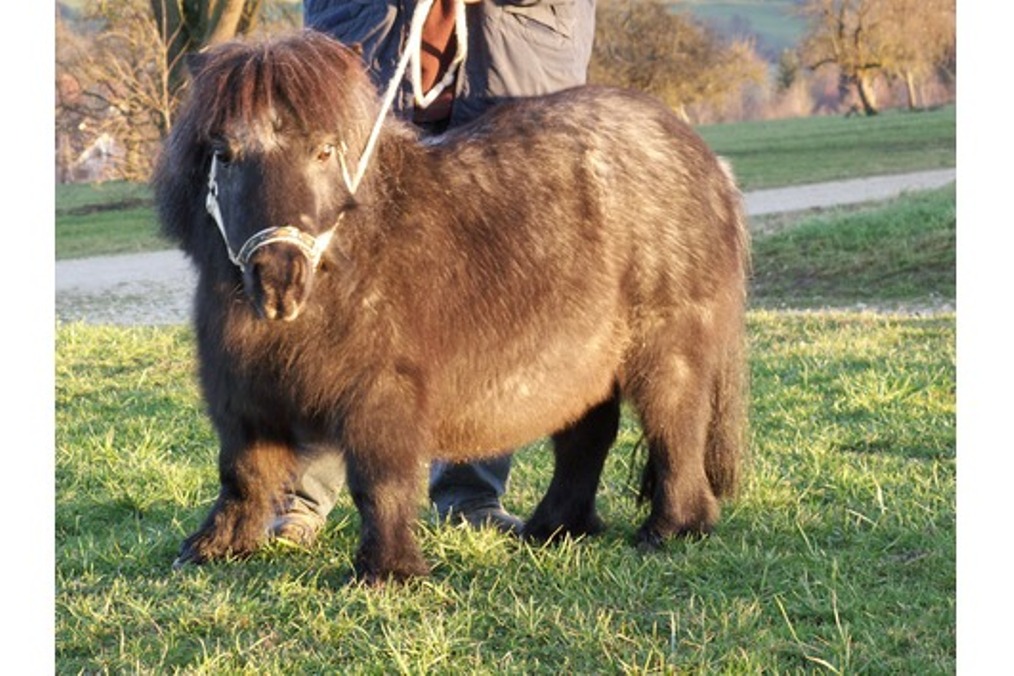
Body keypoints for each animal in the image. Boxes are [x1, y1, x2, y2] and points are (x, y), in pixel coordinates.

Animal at [154, 30, 750, 583]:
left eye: (324, 150)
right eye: (224, 154)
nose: (279, 280)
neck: (353, 257)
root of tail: (708, 162)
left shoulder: (382, 393)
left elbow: (380, 483)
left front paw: (386, 571)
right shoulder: (243, 393)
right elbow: (242, 473)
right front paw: (214, 547)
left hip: (666, 351)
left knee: (676, 428)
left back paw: (671, 529)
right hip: (587, 360)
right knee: (587, 437)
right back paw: (554, 527)